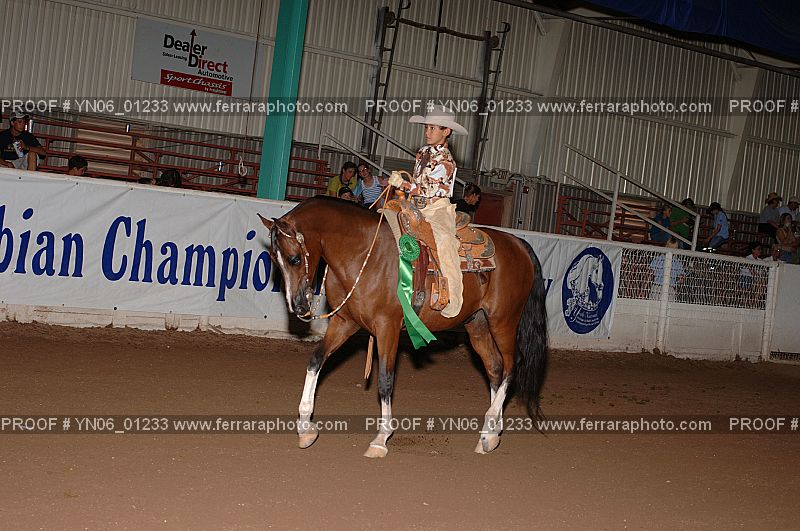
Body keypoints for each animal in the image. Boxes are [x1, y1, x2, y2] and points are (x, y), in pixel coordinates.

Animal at [259, 196, 548, 458]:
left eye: (295, 259)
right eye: (275, 259)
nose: (298, 306)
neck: (364, 253)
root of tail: (519, 244)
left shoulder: (387, 327)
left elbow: (385, 380)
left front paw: (380, 439)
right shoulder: (345, 323)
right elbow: (316, 360)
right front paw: (305, 428)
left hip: (503, 320)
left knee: (512, 365)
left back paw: (488, 432)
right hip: (477, 323)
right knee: (494, 367)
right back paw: (491, 433)